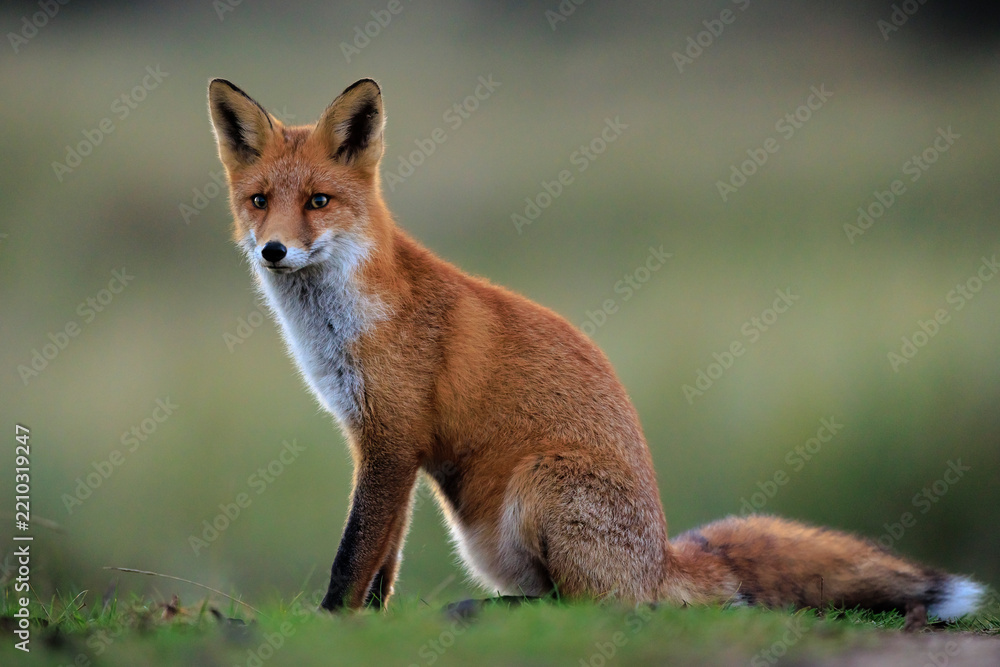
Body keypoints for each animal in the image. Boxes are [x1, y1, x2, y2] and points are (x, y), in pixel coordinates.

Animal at [207, 77, 985, 627]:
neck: (342, 321)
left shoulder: (393, 439)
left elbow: (353, 555)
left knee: (596, 604)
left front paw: (330, 625)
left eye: (317, 201)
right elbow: (383, 560)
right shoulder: (381, 443)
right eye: (259, 201)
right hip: (486, 533)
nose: (273, 250)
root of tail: (661, 555)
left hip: (538, 483)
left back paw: (493, 612)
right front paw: (371, 625)